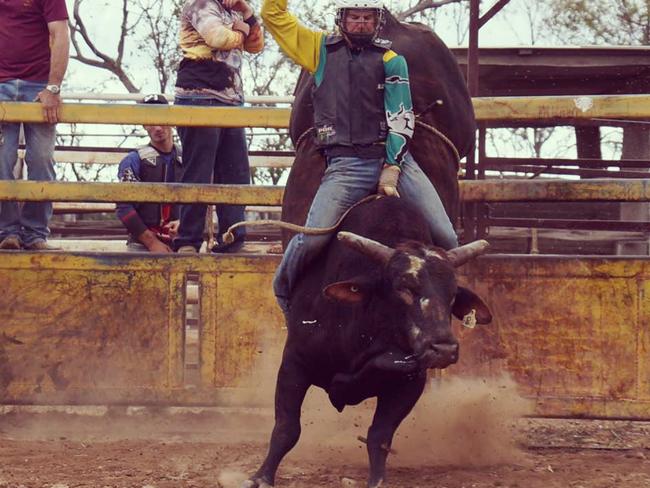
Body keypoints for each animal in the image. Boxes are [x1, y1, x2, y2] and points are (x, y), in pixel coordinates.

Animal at [243, 11, 486, 488]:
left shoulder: (410, 383)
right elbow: (286, 428)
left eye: (452, 295)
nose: (443, 349)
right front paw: (262, 475)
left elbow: (379, 436)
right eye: (403, 288)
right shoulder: (294, 362)